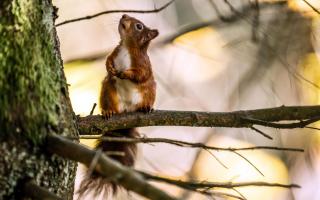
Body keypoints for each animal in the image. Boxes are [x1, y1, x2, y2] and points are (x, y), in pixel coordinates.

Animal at [77, 14, 158, 198]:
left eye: (139, 26)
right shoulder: (114, 53)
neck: (127, 46)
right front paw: (109, 67)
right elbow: (108, 59)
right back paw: (109, 111)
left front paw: (126, 73)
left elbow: (140, 74)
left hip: (149, 92)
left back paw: (145, 108)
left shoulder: (143, 64)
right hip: (108, 89)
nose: (123, 16)